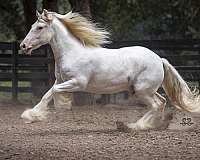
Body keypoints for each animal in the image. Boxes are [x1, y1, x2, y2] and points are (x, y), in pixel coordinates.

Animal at [20, 9, 200, 131]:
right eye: (33, 25)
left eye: (40, 27)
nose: (23, 46)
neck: (72, 52)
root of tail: (159, 59)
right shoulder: (61, 80)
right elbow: (48, 93)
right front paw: (31, 116)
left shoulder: (77, 83)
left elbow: (54, 91)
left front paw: (58, 106)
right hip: (145, 90)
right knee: (161, 102)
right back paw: (152, 125)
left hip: (142, 90)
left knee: (156, 105)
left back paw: (133, 126)